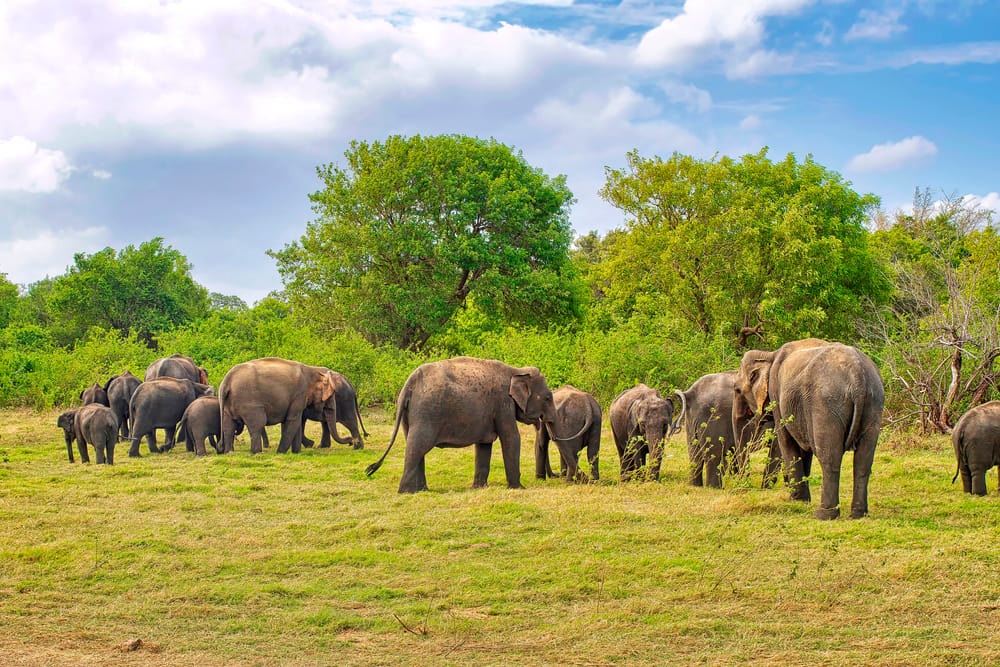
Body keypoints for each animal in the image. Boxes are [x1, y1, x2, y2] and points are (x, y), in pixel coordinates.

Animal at [365, 356, 559, 493]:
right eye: (548, 398)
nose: (555, 476)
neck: (516, 370)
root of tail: (408, 385)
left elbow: (484, 445)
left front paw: (479, 488)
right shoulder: (502, 403)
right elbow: (511, 438)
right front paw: (519, 488)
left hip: (410, 413)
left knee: (414, 445)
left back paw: (422, 491)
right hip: (426, 412)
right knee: (418, 446)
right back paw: (406, 492)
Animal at [735, 339, 884, 520]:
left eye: (736, 390)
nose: (744, 487)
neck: (769, 354)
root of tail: (858, 376)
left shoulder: (777, 394)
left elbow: (786, 441)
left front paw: (795, 501)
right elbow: (803, 449)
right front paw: (803, 500)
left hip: (826, 404)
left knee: (829, 456)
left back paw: (823, 514)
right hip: (874, 401)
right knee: (863, 460)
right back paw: (858, 515)